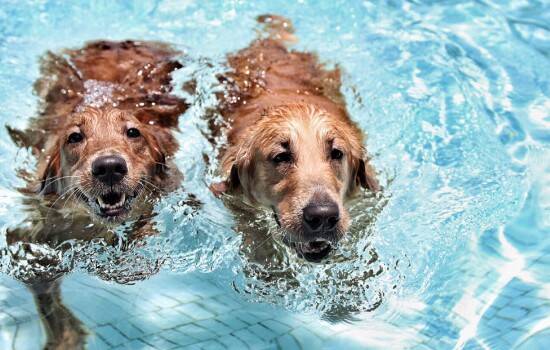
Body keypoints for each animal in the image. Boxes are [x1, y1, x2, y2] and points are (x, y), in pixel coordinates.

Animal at [2, 40, 189, 350]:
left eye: (133, 132)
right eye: (75, 137)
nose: (109, 167)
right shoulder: (26, 239)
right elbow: (41, 281)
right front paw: (65, 336)